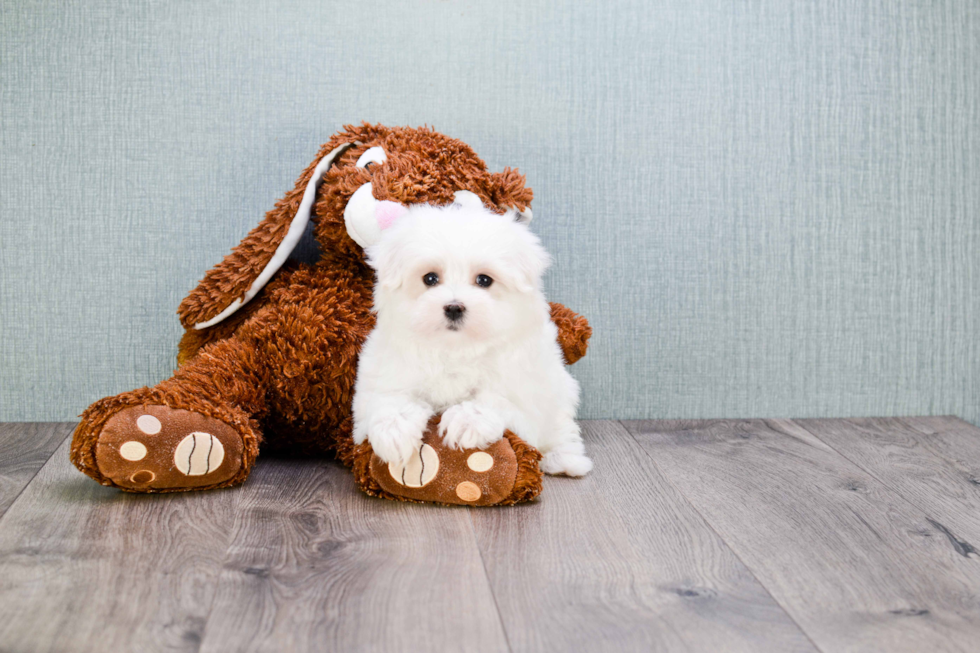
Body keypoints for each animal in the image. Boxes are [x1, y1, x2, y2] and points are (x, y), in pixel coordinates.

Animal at [356, 201, 592, 476]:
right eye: (430, 278)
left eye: (484, 280)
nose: (454, 307)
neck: (456, 348)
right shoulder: (386, 373)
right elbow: (389, 398)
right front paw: (393, 431)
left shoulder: (524, 393)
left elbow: (496, 399)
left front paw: (466, 420)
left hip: (560, 390)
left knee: (562, 427)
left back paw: (564, 459)